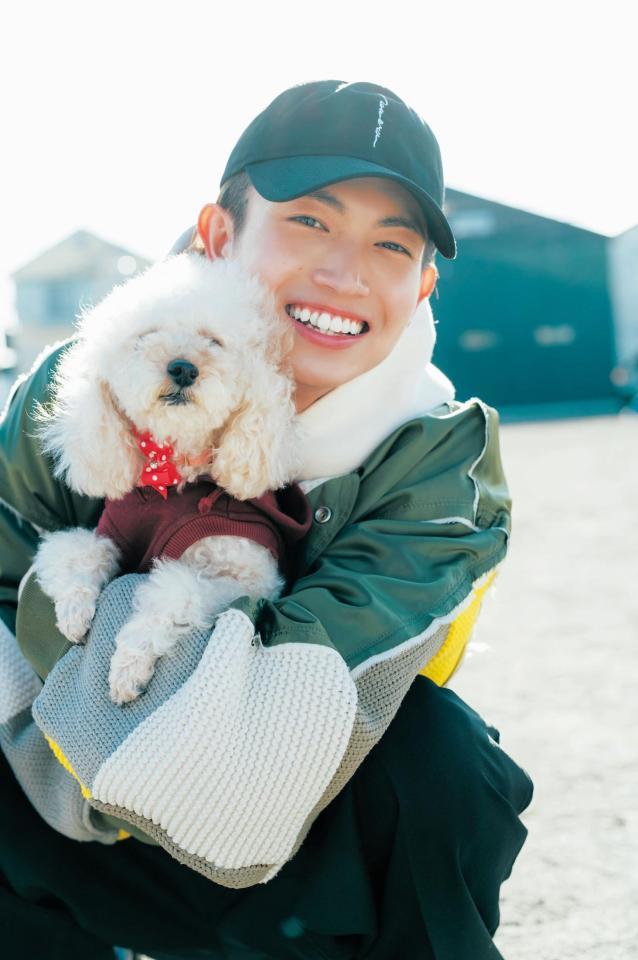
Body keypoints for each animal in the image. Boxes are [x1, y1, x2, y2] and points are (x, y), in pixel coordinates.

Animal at [32, 255, 304, 704]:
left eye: (214, 341)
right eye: (145, 337)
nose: (182, 367)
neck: (171, 472)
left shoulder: (250, 580)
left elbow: (175, 593)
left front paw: (128, 666)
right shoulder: (110, 533)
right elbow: (77, 553)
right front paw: (74, 613)